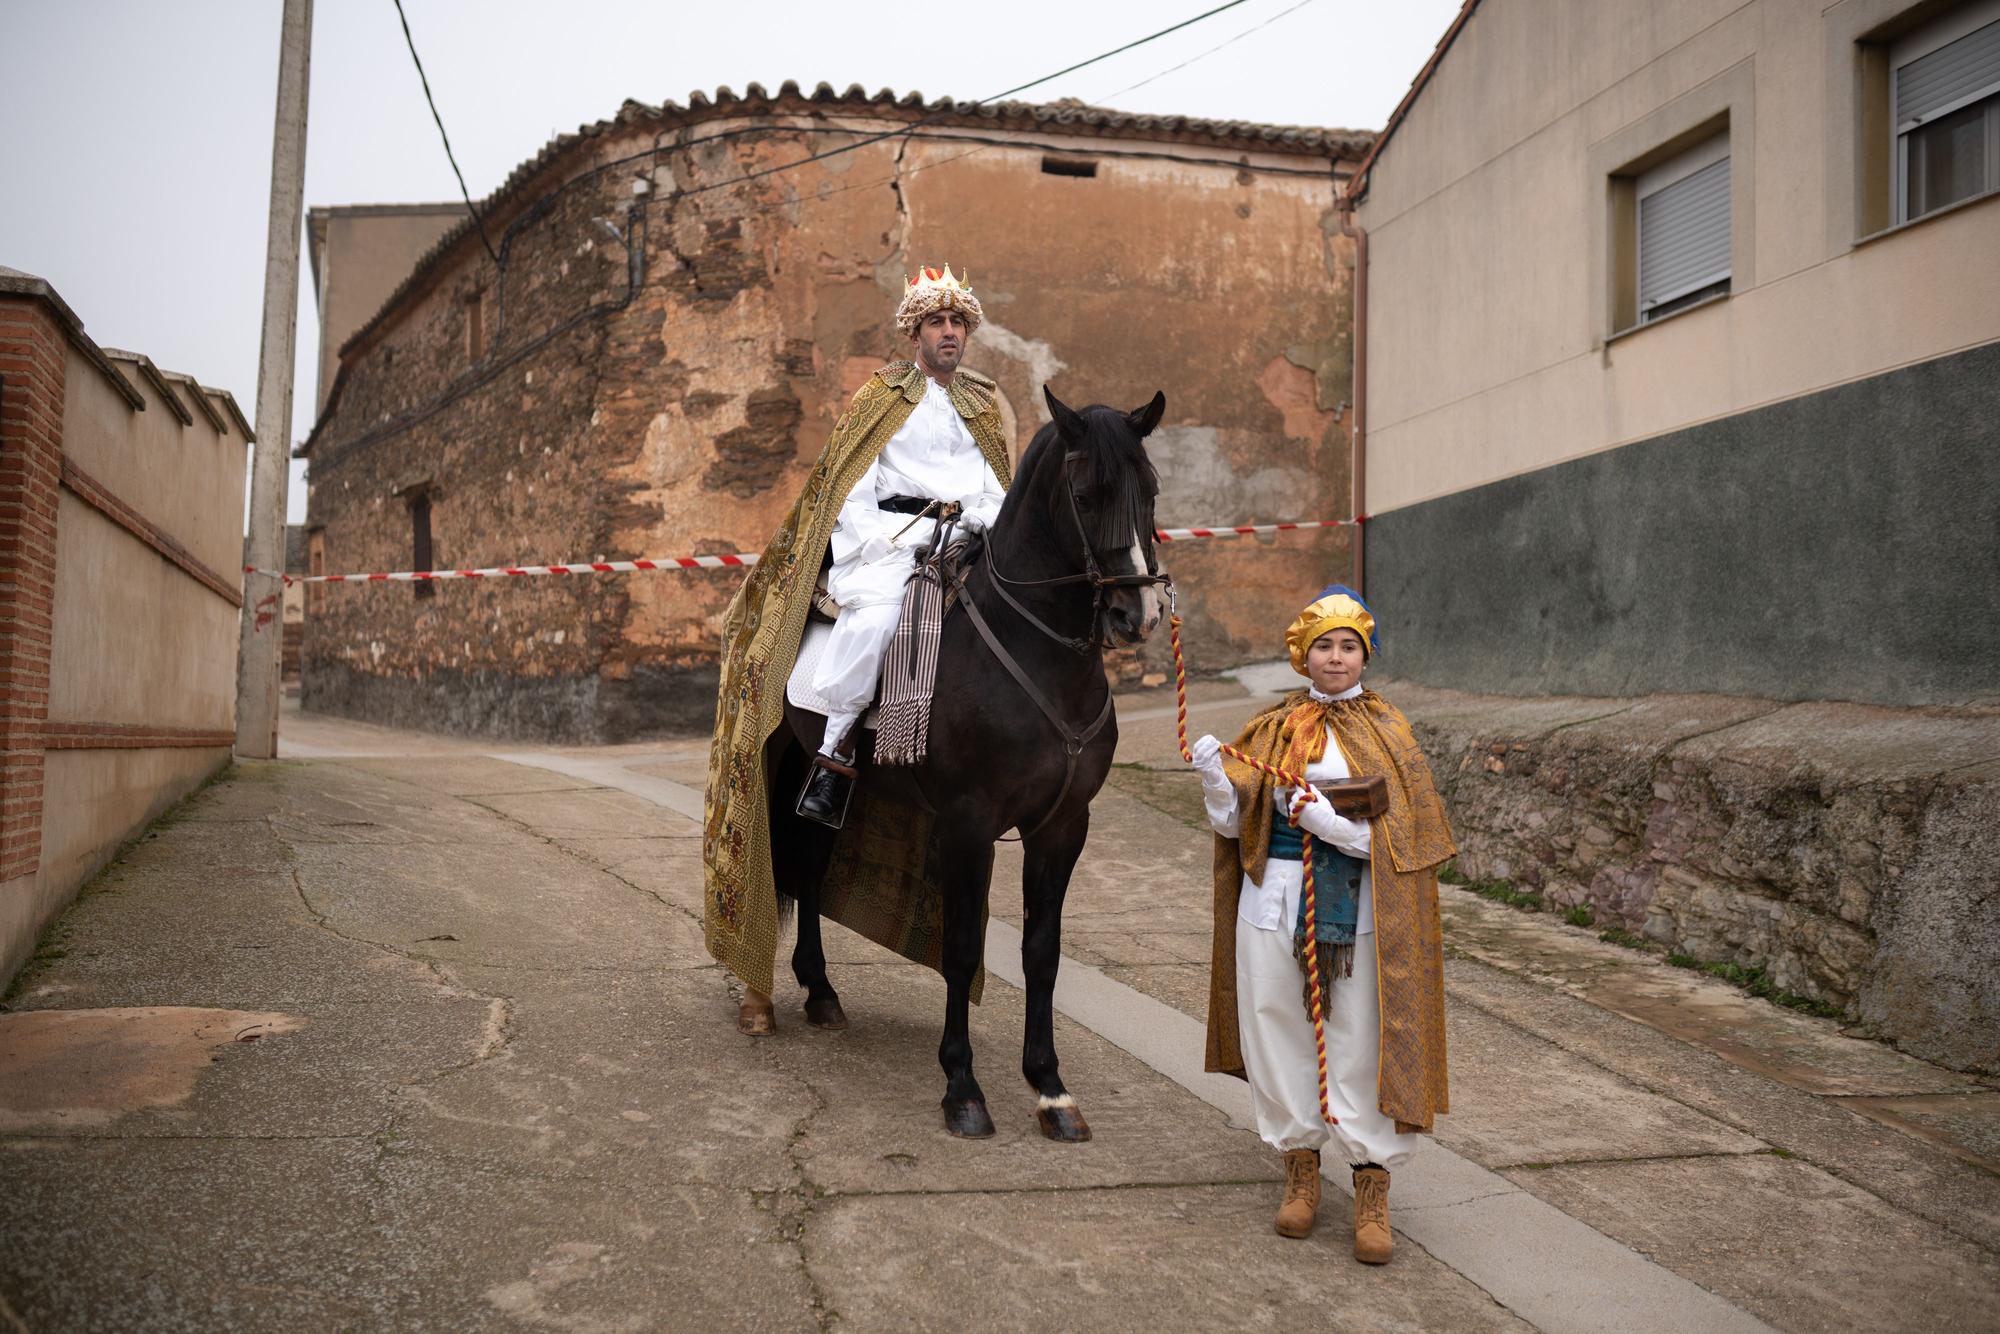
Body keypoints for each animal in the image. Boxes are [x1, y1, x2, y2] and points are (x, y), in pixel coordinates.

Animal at [764, 386, 1168, 1152]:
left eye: (1152, 490)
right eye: (1086, 494)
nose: (1137, 612)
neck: (1039, 655)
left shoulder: (1062, 827)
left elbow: (1042, 951)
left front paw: (1050, 1088)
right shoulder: (969, 825)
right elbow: (960, 946)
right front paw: (963, 1088)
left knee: (814, 867)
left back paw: (822, 990)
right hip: (782, 762)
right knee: (785, 862)